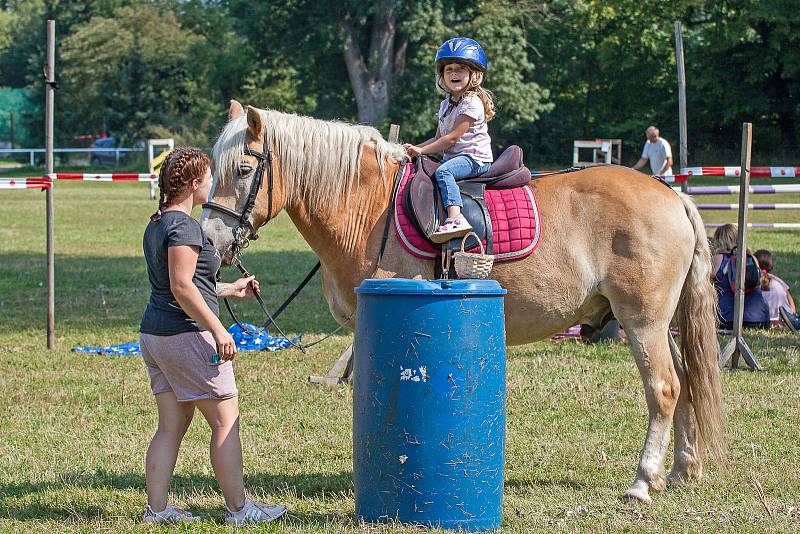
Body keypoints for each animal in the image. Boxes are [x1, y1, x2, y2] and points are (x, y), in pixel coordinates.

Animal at [202, 101, 724, 506]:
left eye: (243, 171)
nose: (208, 241)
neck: (368, 207)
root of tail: (671, 196)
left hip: (642, 321)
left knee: (664, 389)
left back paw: (642, 482)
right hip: (658, 324)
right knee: (684, 385)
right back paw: (680, 470)